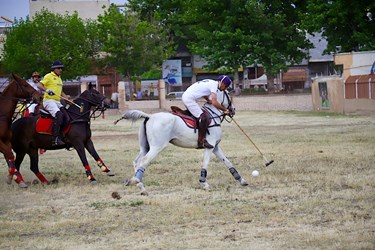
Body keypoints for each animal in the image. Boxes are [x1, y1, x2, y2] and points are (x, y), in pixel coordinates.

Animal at [116, 90, 248, 195]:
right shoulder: (209, 147)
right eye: (228, 94)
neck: (213, 114)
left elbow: (228, 162)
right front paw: (204, 184)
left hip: (145, 147)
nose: (233, 110)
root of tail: (149, 116)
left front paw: (242, 181)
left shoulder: (215, 147)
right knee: (144, 161)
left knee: (137, 161)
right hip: (156, 146)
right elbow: (205, 164)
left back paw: (141, 187)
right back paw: (135, 181)